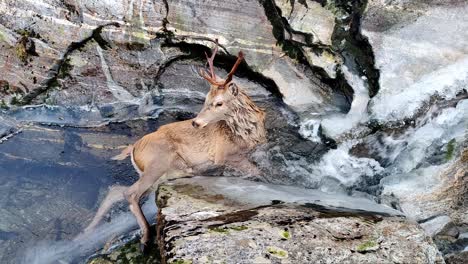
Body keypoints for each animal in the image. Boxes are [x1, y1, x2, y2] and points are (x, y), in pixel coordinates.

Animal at [81, 41, 266, 252]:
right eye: (205, 100)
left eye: (219, 103)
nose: (195, 122)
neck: (247, 134)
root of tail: (134, 148)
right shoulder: (224, 156)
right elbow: (257, 173)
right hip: (158, 163)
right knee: (130, 193)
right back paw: (145, 237)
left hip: (160, 174)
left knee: (116, 190)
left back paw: (87, 233)